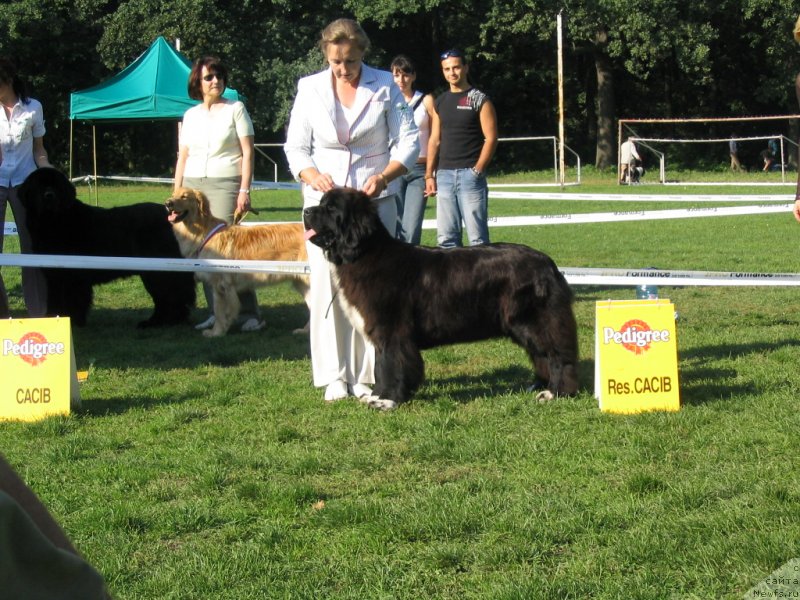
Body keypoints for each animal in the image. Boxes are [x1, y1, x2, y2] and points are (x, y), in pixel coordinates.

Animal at [17, 166, 195, 328]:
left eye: (57, 186)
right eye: (38, 186)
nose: (49, 196)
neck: (54, 221)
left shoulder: (74, 276)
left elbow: (73, 300)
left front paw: (72, 322)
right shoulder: (53, 275)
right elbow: (55, 299)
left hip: (156, 270)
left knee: (168, 294)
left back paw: (159, 321)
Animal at [166, 188, 310, 338]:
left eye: (184, 197)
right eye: (173, 195)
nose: (167, 203)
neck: (203, 232)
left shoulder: (222, 285)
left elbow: (220, 312)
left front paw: (216, 332)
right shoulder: (218, 287)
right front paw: (218, 330)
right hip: (302, 282)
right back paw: (304, 331)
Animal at [304, 189, 580, 412]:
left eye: (331, 208)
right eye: (320, 203)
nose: (306, 211)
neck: (364, 252)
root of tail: (548, 264)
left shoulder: (392, 332)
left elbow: (392, 364)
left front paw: (388, 401)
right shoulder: (381, 335)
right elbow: (381, 366)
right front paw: (377, 396)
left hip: (536, 321)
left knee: (557, 355)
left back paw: (555, 392)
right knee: (541, 355)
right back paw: (539, 385)